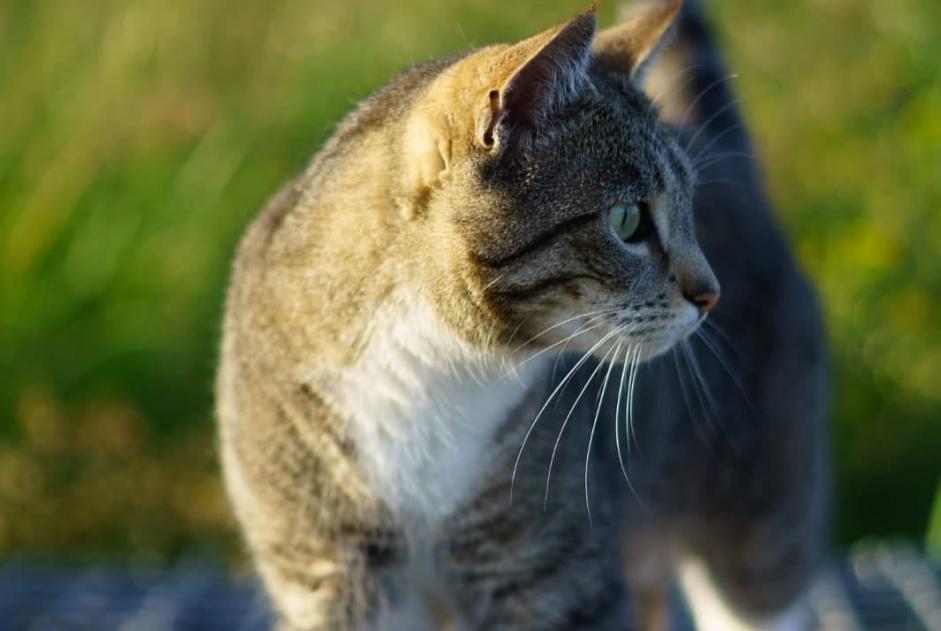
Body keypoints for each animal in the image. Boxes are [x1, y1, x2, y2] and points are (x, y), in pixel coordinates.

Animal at [215, 1, 828, 628]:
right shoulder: (329, 571)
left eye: (690, 209)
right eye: (628, 220)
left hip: (761, 528)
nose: (710, 296)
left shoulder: (554, 578)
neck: (427, 370)